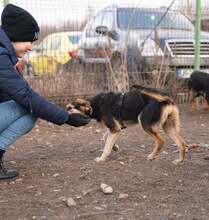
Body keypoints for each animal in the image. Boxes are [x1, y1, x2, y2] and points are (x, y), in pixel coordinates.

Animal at [66, 85, 196, 166]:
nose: (64, 115)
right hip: (168, 127)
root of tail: (166, 98)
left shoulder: (114, 128)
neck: (95, 104)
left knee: (161, 141)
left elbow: (106, 147)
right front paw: (115, 147)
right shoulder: (115, 128)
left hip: (144, 122)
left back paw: (151, 156)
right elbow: (105, 138)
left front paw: (102, 158)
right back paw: (179, 161)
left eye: (70, 108)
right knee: (181, 143)